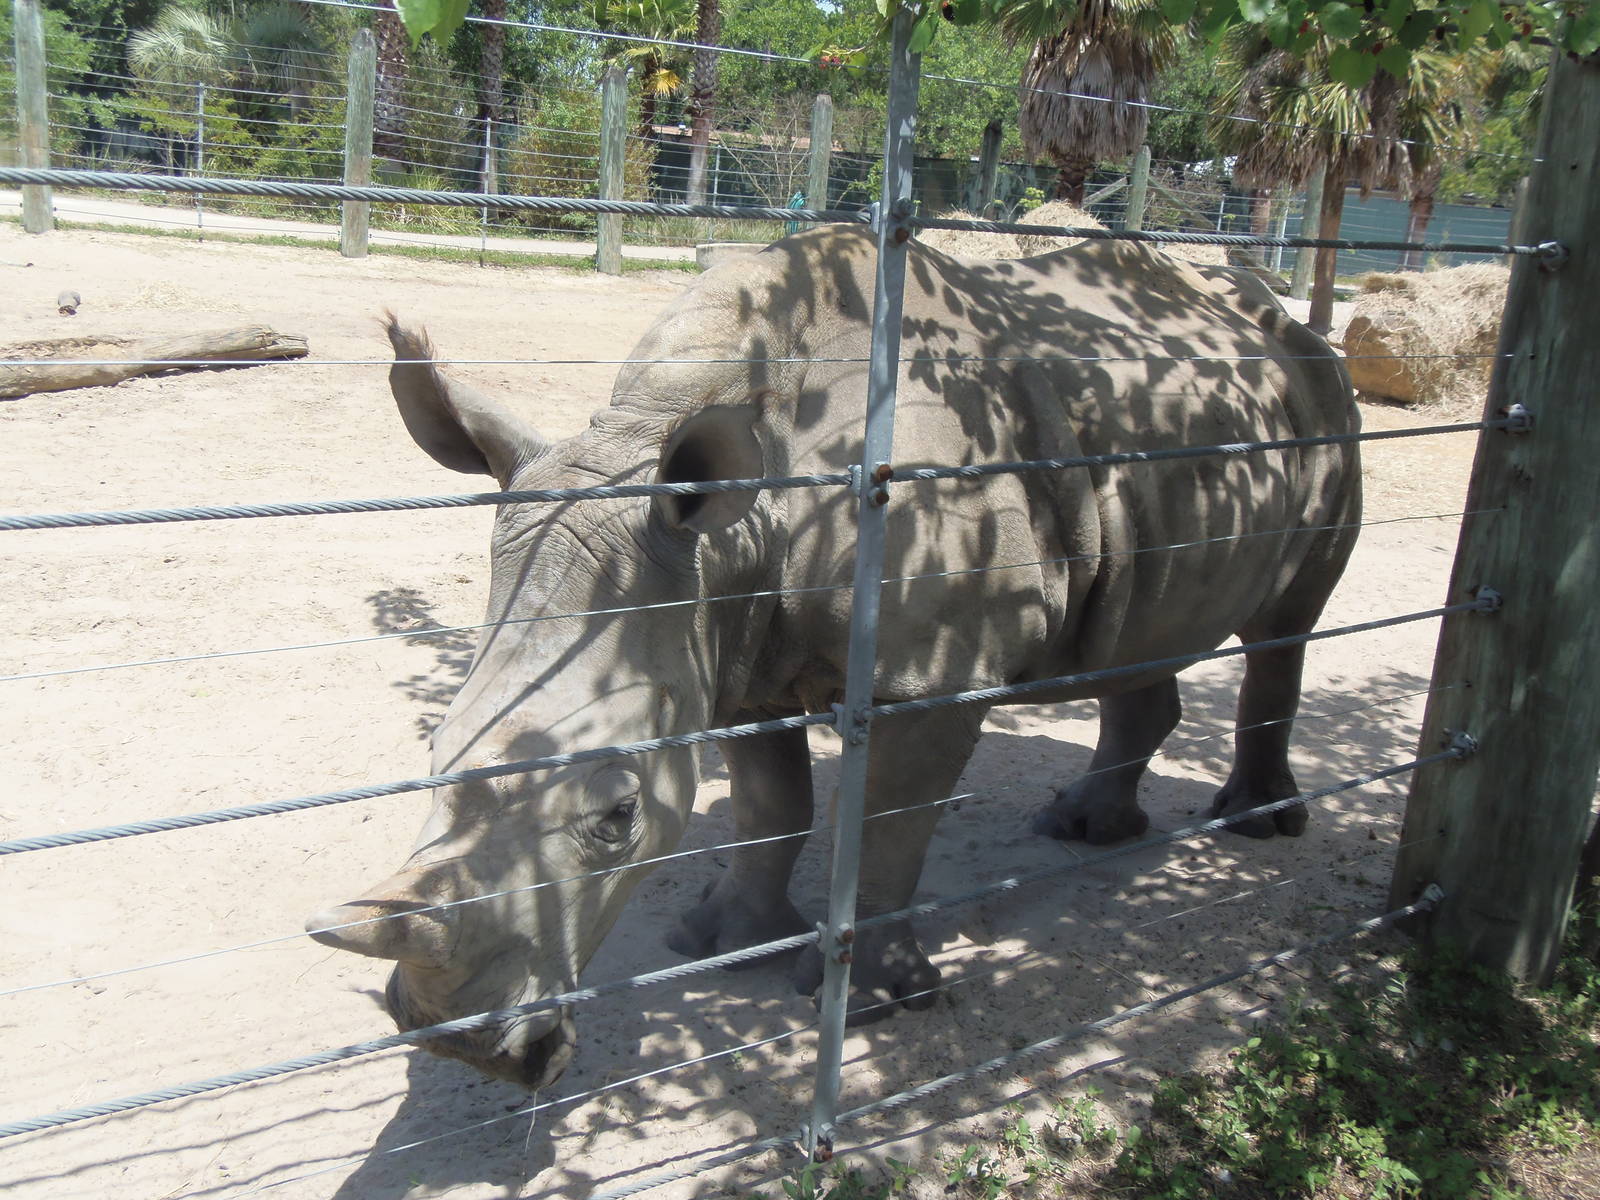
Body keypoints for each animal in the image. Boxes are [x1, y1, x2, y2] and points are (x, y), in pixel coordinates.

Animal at [306, 225, 1360, 1090]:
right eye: (433, 755)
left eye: (617, 818)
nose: (459, 1044)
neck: (732, 527)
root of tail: (1268, 307)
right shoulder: (723, 642)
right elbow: (772, 807)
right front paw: (725, 939)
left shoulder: (935, 677)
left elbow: (890, 824)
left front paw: (871, 1003)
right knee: (1143, 629)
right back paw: (1085, 827)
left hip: (1323, 386)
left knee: (1286, 624)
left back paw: (1256, 827)